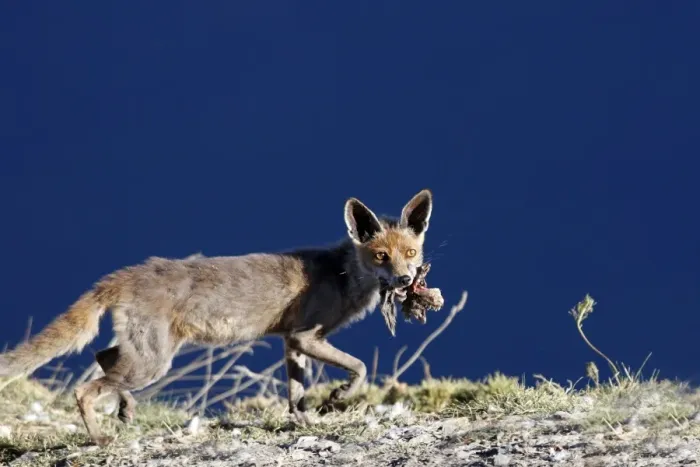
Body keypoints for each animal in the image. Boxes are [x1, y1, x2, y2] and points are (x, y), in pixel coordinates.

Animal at [0, 189, 434, 446]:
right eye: (381, 256)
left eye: (410, 253)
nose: (405, 280)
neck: (342, 277)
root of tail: (125, 273)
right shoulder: (307, 336)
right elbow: (359, 368)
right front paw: (337, 398)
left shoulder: (292, 341)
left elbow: (296, 393)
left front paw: (303, 421)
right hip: (153, 363)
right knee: (84, 388)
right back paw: (100, 440)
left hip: (147, 357)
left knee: (102, 358)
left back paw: (126, 410)